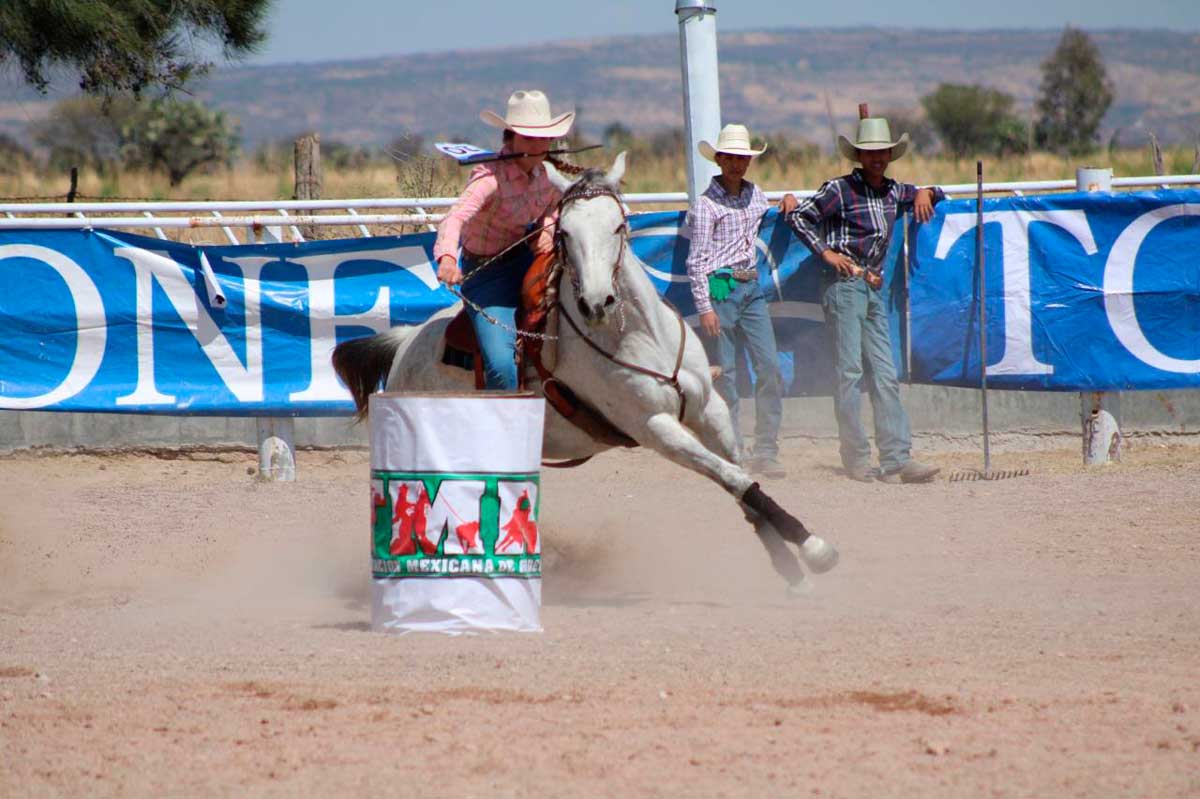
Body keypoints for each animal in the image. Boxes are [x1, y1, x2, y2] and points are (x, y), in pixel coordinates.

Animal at [336, 152, 844, 587]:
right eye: (564, 233)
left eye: (619, 225)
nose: (596, 302)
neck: (642, 338)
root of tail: (406, 344)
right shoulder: (654, 428)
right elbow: (735, 478)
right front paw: (816, 550)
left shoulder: (709, 408)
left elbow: (740, 477)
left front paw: (787, 566)